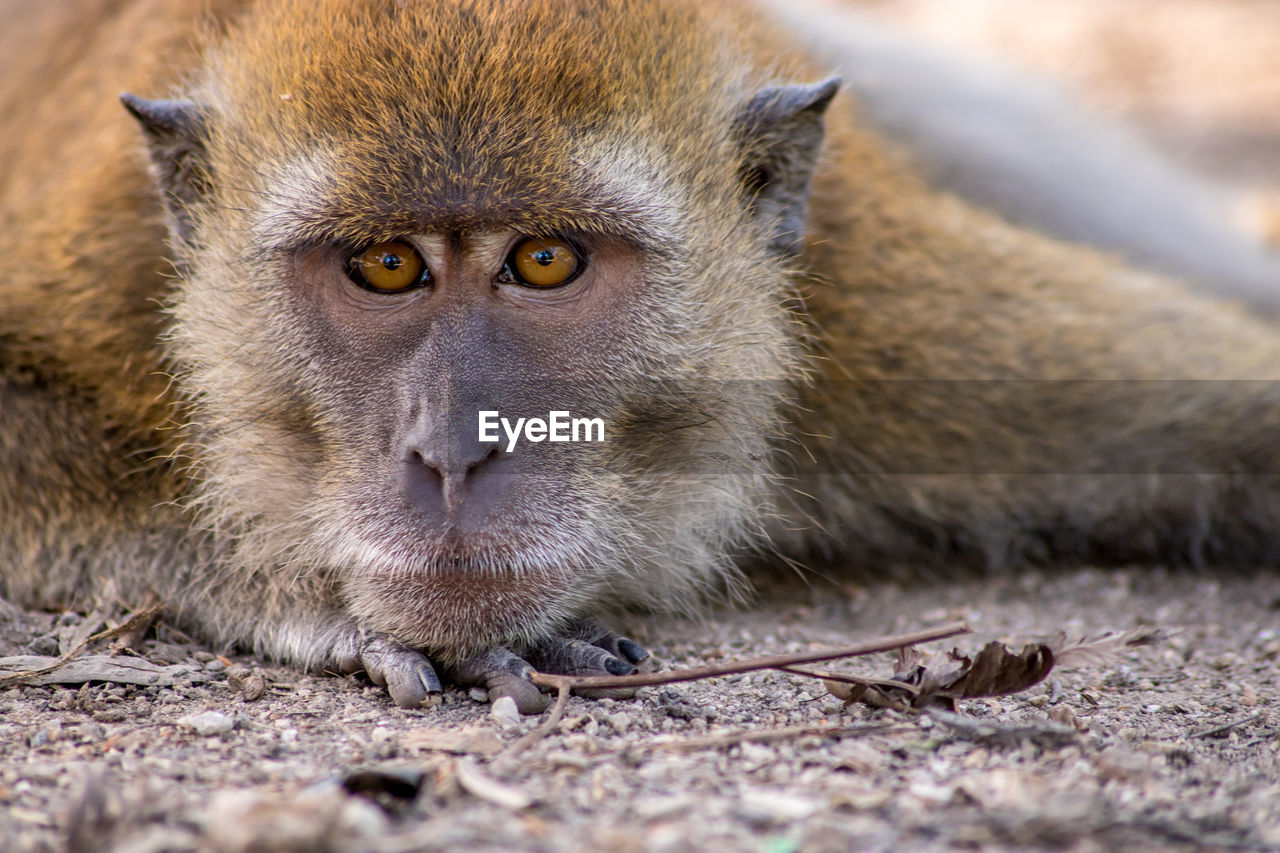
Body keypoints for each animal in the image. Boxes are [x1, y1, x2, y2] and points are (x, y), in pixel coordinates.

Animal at [2, 0, 1280, 712]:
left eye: (545, 261)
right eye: (386, 265)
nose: (453, 453)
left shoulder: (876, 320)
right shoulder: (116, 275)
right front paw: (323, 595)